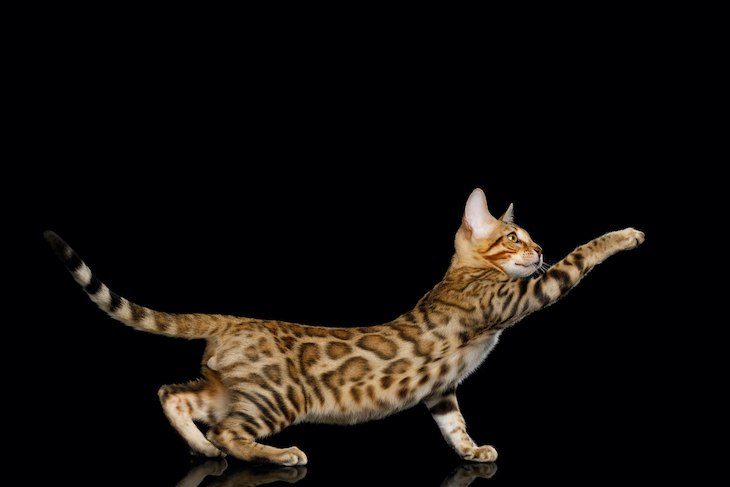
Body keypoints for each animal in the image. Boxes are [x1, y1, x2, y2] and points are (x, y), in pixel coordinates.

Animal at [44, 189, 644, 468]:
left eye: (531, 237)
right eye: (515, 238)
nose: (539, 250)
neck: (466, 273)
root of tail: (235, 319)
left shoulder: (442, 390)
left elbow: (454, 426)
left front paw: (472, 453)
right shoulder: (516, 298)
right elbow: (581, 257)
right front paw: (625, 234)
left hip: (229, 388)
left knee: (174, 395)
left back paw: (202, 451)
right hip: (276, 397)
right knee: (228, 431)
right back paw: (278, 456)